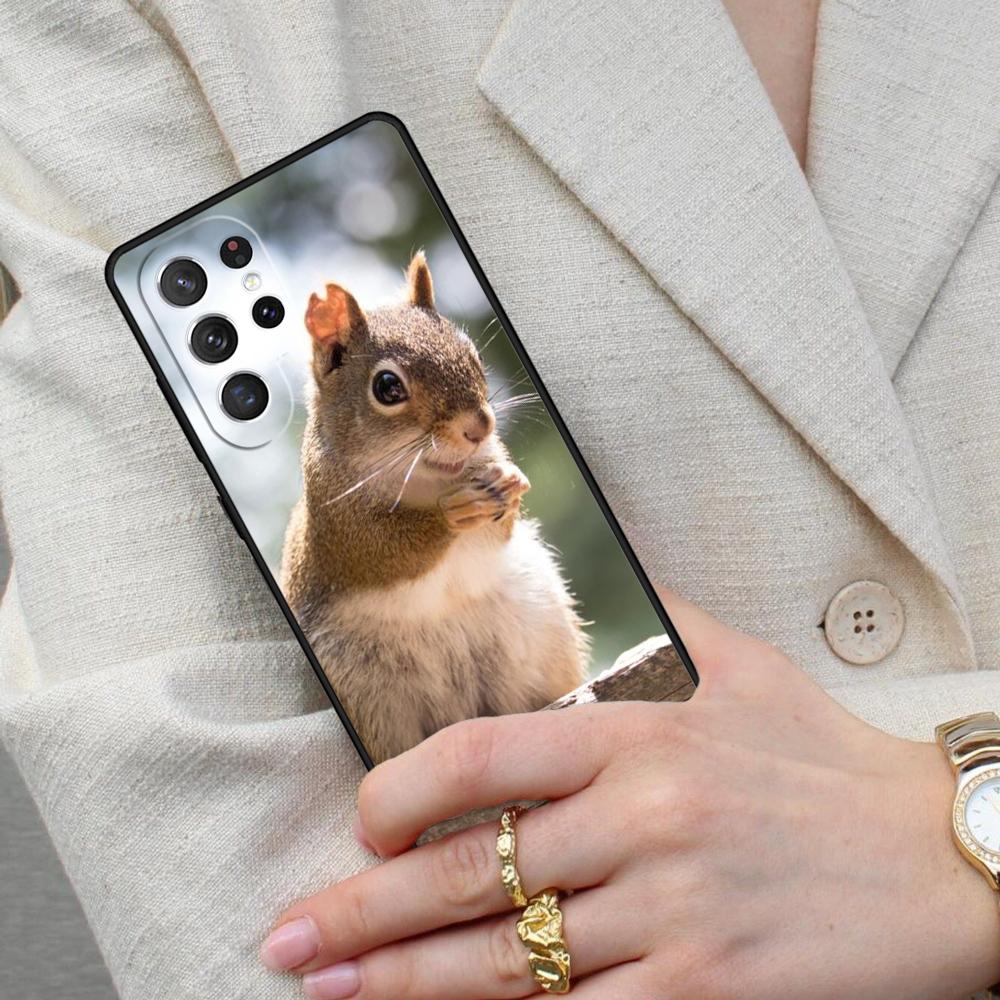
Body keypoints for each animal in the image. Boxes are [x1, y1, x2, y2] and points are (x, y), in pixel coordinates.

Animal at [280, 252, 588, 763]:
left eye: (472, 354)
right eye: (387, 387)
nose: (479, 427)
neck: (430, 476)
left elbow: (498, 528)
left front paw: (511, 481)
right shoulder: (338, 523)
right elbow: (389, 550)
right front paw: (449, 516)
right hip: (368, 696)